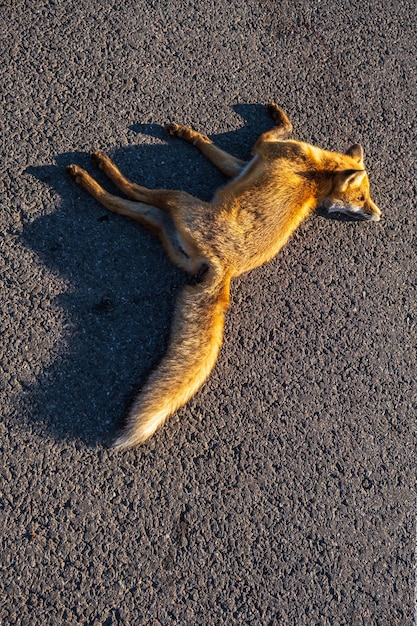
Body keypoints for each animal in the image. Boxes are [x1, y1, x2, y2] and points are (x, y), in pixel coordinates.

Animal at [66, 103, 380, 448]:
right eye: (363, 198)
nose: (378, 215)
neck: (318, 171)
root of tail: (226, 270)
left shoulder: (262, 148)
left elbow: (275, 129)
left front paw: (277, 115)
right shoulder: (242, 164)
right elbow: (210, 145)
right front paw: (185, 132)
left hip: (176, 199)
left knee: (130, 190)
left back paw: (92, 171)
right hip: (163, 224)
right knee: (121, 205)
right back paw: (91, 178)